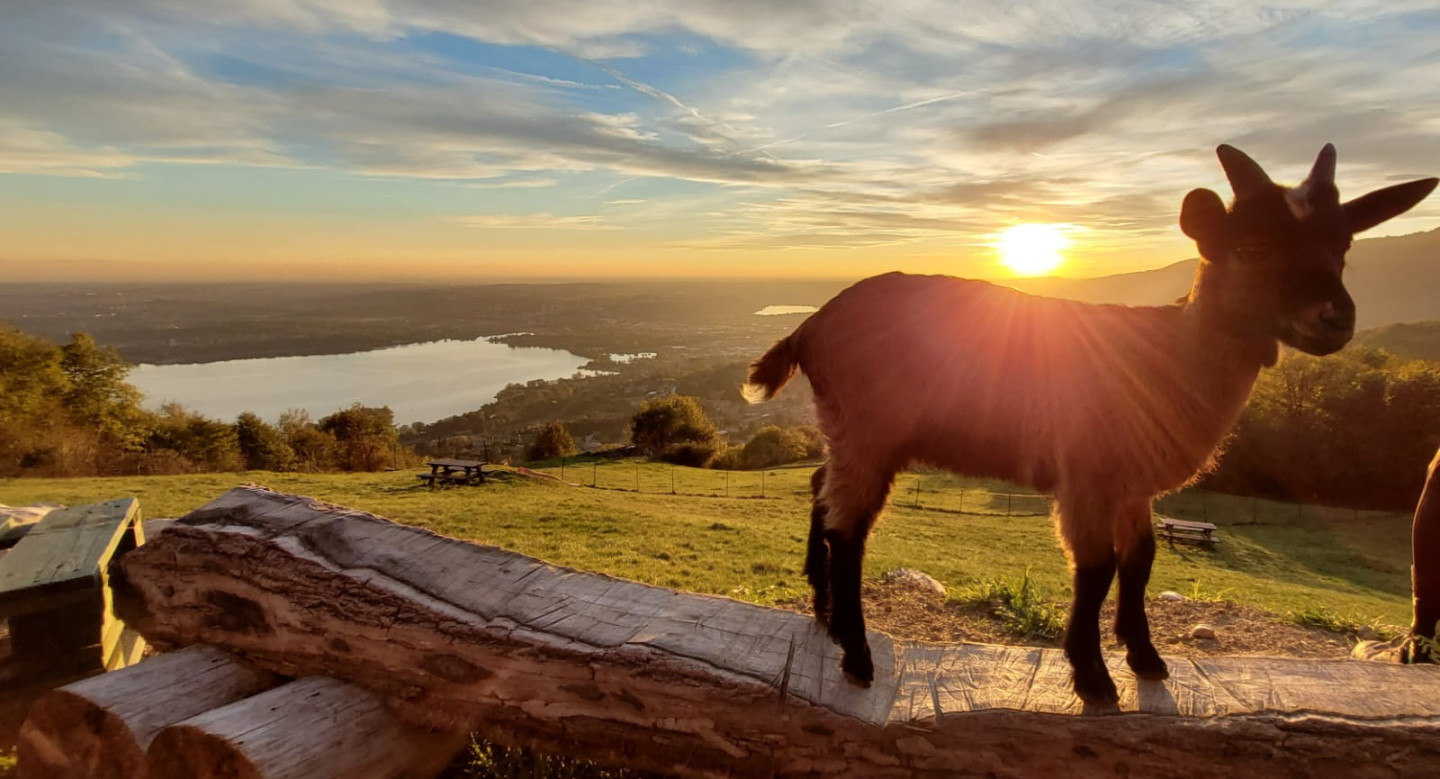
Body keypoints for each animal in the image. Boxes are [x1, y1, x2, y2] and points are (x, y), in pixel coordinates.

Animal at [748, 142, 1434, 702]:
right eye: (1252, 247)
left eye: (1342, 247)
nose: (1335, 318)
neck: (1169, 352)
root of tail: (810, 326)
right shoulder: (1086, 472)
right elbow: (1097, 566)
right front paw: (1092, 674)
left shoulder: (1133, 485)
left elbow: (1141, 559)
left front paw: (1146, 657)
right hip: (870, 429)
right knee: (849, 529)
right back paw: (857, 654)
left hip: (846, 429)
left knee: (821, 492)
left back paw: (824, 613)